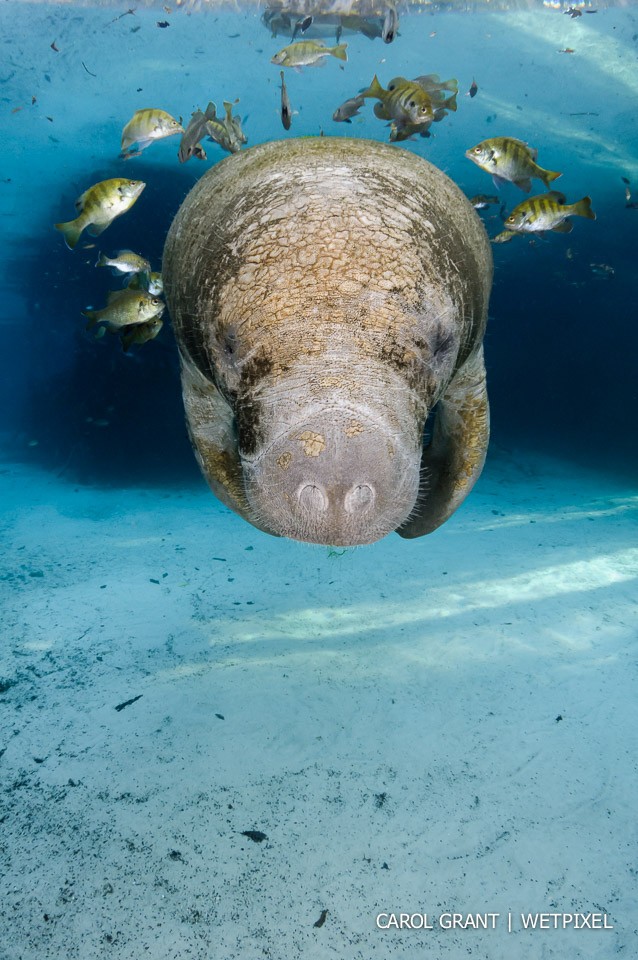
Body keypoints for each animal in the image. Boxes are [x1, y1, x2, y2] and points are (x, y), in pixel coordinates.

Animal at [162, 141, 492, 548]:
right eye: (228, 347)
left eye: (439, 345)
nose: (336, 488)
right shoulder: (193, 367)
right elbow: (211, 451)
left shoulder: (470, 361)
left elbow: (469, 451)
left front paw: (417, 527)